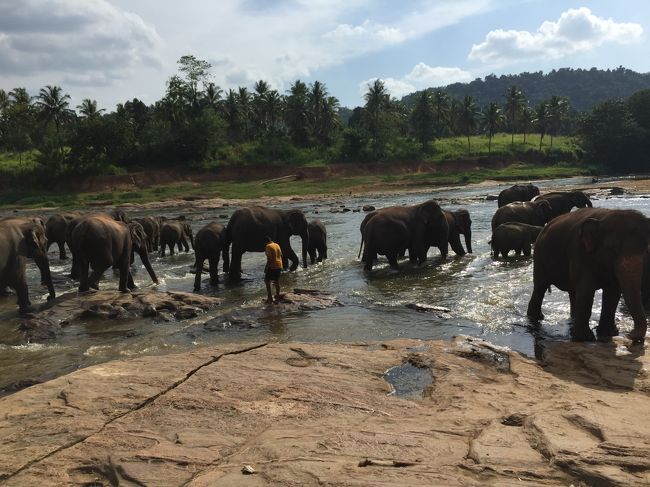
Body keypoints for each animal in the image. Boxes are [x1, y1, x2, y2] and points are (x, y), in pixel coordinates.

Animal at [528, 209, 648, 344]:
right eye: (612, 250)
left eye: (645, 250)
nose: (630, 334)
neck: (604, 217)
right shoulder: (579, 251)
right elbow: (586, 289)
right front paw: (584, 338)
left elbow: (613, 291)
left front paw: (609, 333)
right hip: (539, 257)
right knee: (540, 287)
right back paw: (536, 318)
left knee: (573, 291)